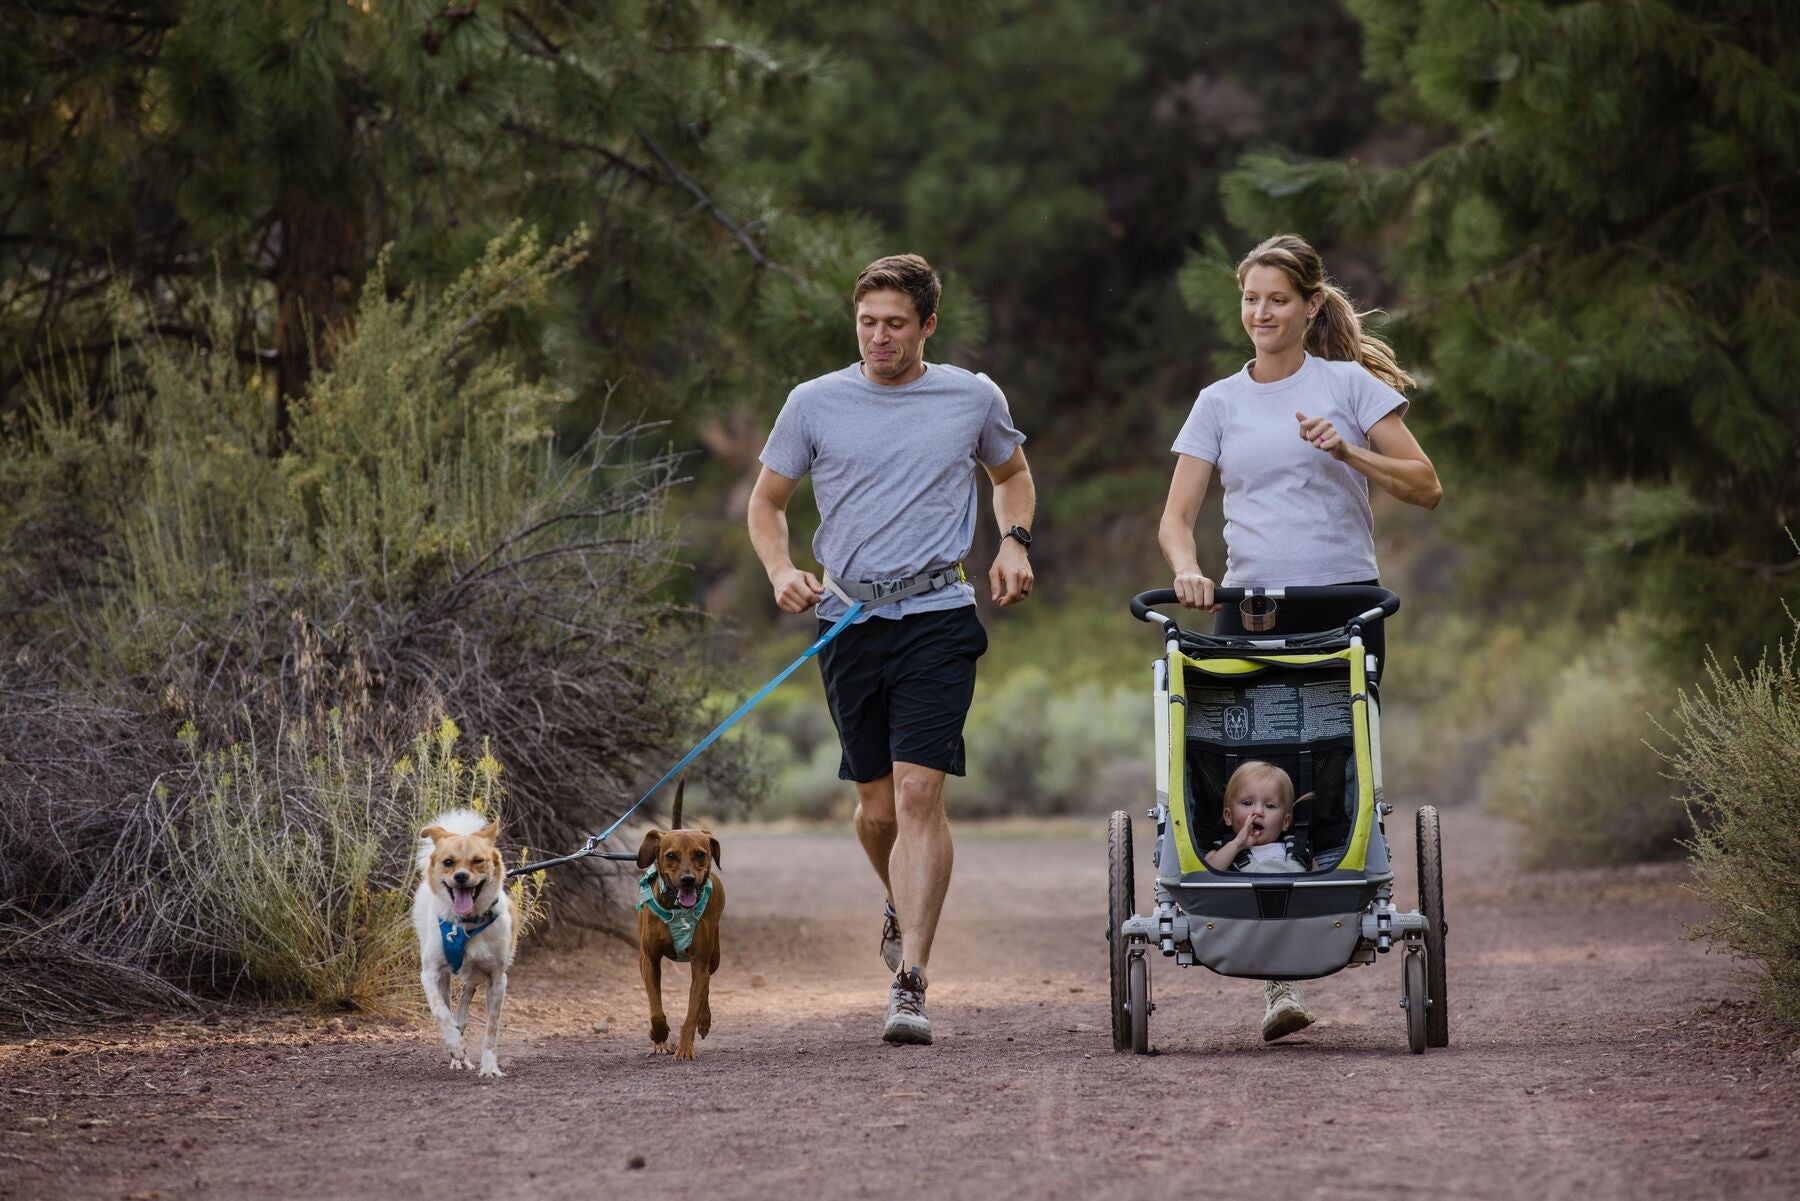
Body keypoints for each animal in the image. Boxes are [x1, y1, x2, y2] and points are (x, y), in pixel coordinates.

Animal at [414, 806, 514, 1080]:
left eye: (478, 860)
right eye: (448, 862)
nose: (460, 876)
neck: (466, 924)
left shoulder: (497, 979)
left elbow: (491, 1030)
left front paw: (490, 1067)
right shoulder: (430, 973)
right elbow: (441, 1012)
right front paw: (456, 1046)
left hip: (474, 978)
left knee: (466, 999)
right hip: (445, 978)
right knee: (450, 1007)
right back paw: (458, 1056)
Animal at [630, 781, 720, 1058]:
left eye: (700, 854)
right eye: (670, 855)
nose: (688, 880)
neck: (678, 909)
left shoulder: (700, 962)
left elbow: (691, 1010)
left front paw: (685, 1048)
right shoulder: (649, 960)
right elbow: (656, 1008)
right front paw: (659, 1036)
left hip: (714, 956)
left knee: (706, 985)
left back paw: (705, 1020)